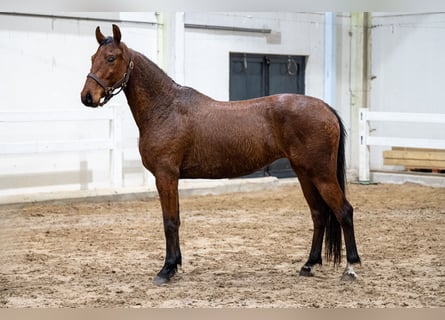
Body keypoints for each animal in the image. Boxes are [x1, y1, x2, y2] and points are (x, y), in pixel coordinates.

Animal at [80, 25, 360, 284]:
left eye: (111, 58)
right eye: (92, 57)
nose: (87, 97)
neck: (165, 108)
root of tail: (325, 108)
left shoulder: (166, 176)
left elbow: (170, 222)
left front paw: (167, 269)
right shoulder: (169, 178)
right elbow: (173, 220)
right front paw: (175, 265)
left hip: (321, 174)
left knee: (344, 211)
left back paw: (351, 268)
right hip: (304, 173)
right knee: (319, 214)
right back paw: (308, 265)